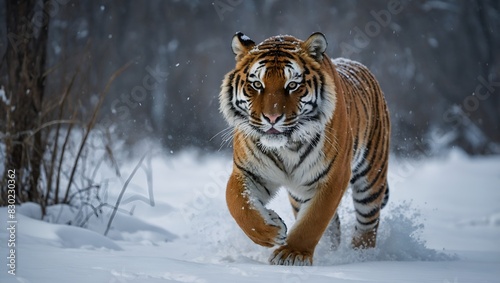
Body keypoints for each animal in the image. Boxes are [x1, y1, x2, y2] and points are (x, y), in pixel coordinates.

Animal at [219, 31, 390, 266]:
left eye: (292, 85)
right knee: (332, 228)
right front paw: (272, 229)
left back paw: (361, 257)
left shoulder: (334, 176)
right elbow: (239, 206)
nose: (272, 118)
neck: (286, 147)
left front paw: (292, 253)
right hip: (299, 193)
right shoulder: (248, 172)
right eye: (257, 85)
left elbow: (314, 220)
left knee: (367, 224)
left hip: (371, 179)